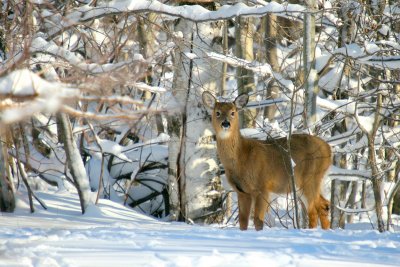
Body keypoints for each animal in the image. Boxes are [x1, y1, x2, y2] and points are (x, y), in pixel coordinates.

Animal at [203, 91, 332, 231]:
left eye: (233, 112)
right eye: (217, 112)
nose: (226, 124)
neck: (241, 158)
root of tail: (328, 149)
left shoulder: (263, 186)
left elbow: (258, 221)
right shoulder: (242, 192)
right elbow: (243, 221)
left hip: (310, 178)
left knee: (313, 210)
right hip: (307, 183)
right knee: (324, 205)